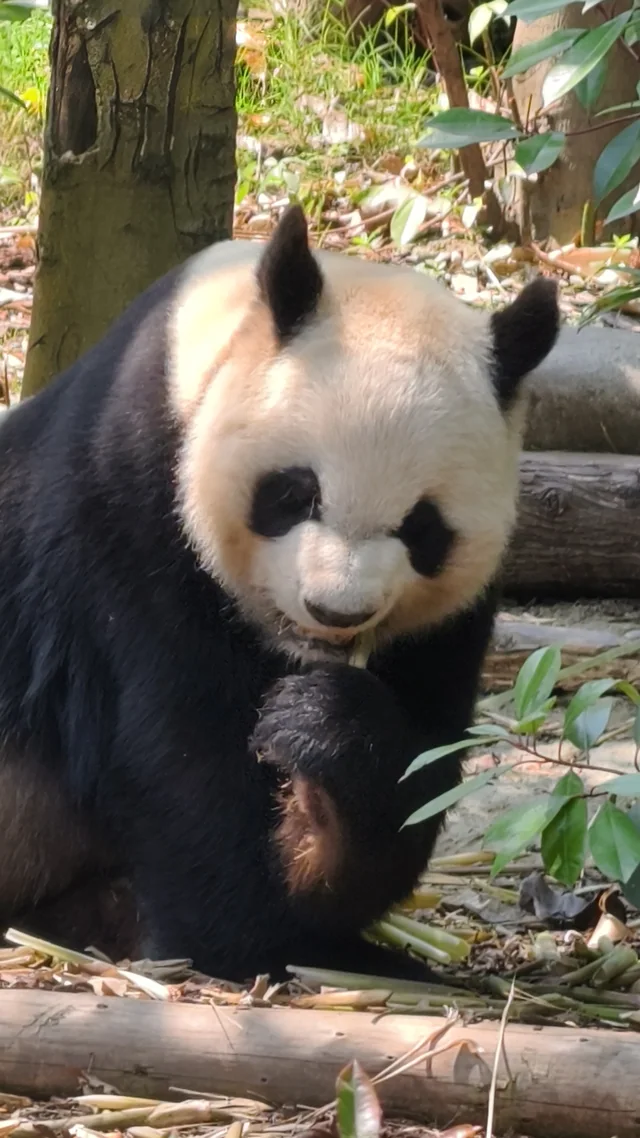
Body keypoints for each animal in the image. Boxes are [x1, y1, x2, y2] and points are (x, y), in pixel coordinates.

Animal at [0, 206, 559, 982]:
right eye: (294, 493)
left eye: (422, 527)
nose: (335, 611)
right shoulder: (125, 519)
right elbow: (181, 751)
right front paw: (246, 944)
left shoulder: (449, 622)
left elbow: (417, 765)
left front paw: (321, 738)